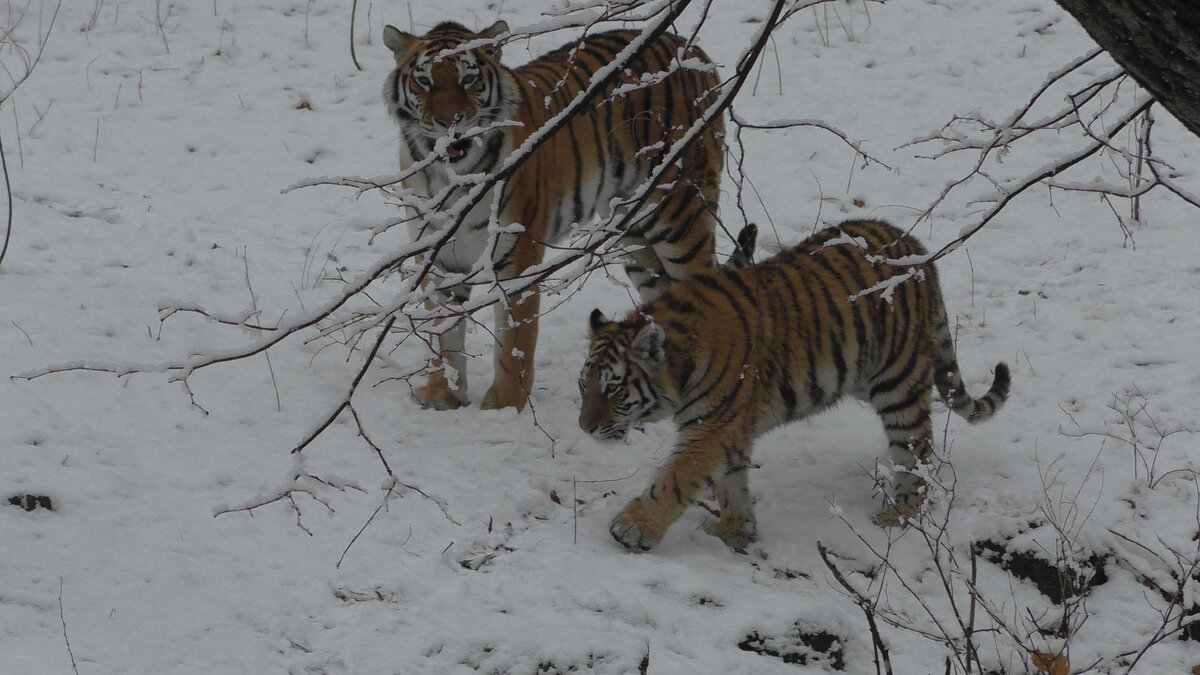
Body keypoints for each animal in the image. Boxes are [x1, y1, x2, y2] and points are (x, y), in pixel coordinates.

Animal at [384, 19, 720, 410]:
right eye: (424, 81)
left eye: (468, 79)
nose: (448, 121)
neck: (451, 177)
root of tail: (691, 48)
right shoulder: (437, 259)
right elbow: (443, 334)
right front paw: (444, 394)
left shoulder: (516, 258)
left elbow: (514, 343)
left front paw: (505, 405)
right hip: (635, 236)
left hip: (679, 217)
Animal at [576, 218, 1008, 550]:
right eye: (584, 386)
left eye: (613, 388)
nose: (584, 428)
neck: (680, 368)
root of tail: (916, 247)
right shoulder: (726, 428)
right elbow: (730, 482)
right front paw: (737, 530)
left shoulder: (711, 429)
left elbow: (675, 478)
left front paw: (632, 528)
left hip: (898, 384)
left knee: (917, 451)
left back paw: (898, 515)